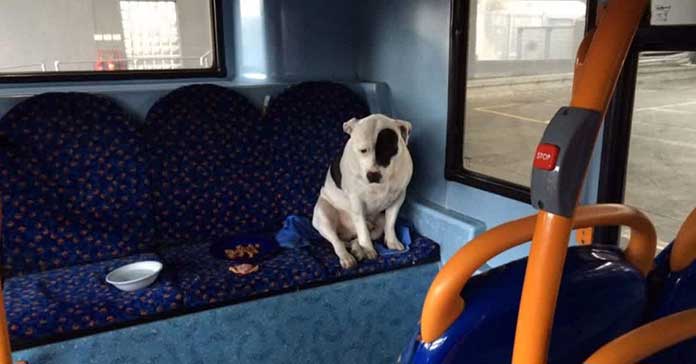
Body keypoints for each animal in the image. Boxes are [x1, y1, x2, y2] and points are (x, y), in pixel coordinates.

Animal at [312, 115, 414, 268]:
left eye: (389, 150)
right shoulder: (357, 202)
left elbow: (391, 223)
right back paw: (347, 257)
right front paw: (368, 249)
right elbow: (363, 232)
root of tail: (346, 233)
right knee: (337, 242)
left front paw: (392, 241)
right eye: (363, 150)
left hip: (379, 222)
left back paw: (357, 249)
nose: (373, 175)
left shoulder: (399, 198)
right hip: (323, 215)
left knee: (362, 236)